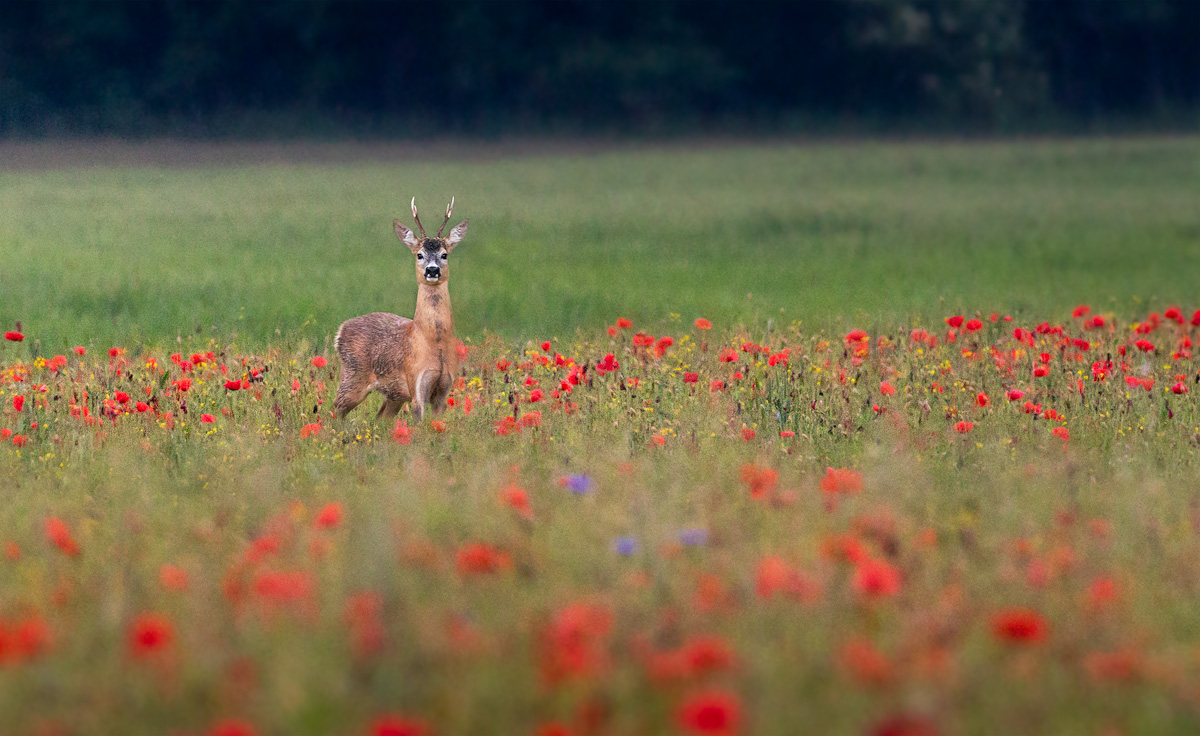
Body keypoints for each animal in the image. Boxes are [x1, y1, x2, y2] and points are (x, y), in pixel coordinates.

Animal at [338, 196, 468, 420]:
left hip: (394, 396)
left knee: (379, 418)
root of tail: (341, 330)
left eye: (444, 255)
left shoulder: (444, 389)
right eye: (419, 255)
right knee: (334, 411)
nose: (432, 270)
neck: (435, 344)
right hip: (353, 376)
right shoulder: (416, 383)